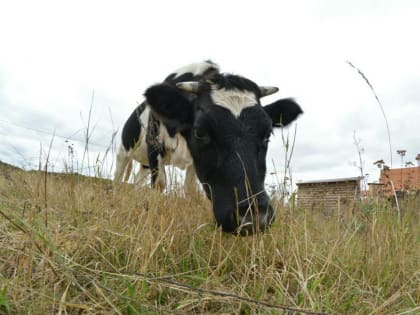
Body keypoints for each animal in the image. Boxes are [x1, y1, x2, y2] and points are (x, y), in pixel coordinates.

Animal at [116, 61, 304, 235]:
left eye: (267, 135)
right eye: (200, 132)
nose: (253, 217)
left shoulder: (193, 161)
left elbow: (190, 191)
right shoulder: (154, 146)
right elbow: (160, 184)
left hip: (144, 164)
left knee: (138, 182)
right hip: (123, 153)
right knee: (119, 176)